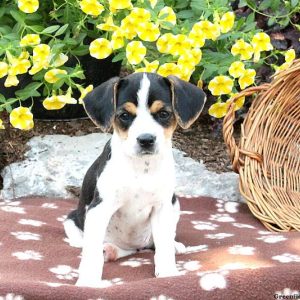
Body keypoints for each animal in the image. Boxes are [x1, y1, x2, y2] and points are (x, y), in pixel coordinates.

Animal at [63, 71, 206, 288]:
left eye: (163, 114)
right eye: (124, 115)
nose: (146, 140)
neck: (142, 167)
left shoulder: (163, 207)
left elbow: (163, 246)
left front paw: (167, 273)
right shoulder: (99, 209)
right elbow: (91, 252)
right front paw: (88, 280)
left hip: (175, 206)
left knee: (154, 243)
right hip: (73, 221)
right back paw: (109, 250)